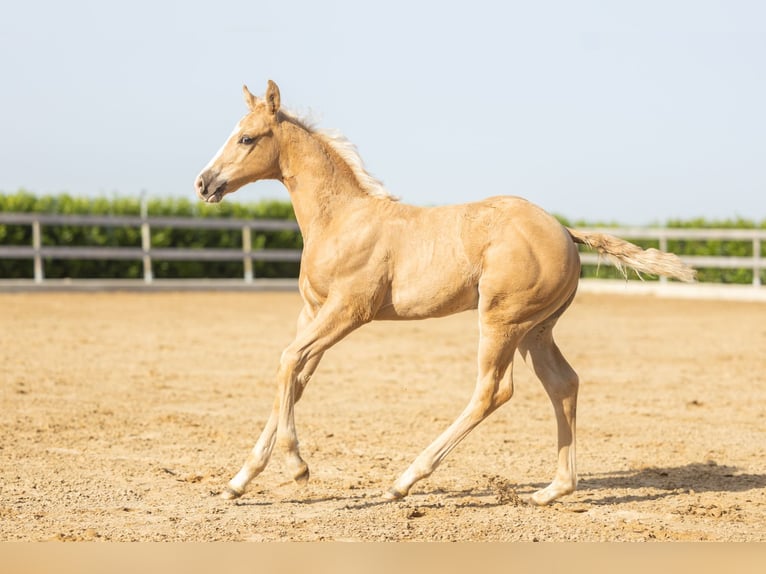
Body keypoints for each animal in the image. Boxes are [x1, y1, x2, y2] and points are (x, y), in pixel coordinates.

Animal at [195, 80, 695, 505]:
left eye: (247, 138)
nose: (203, 183)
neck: (340, 219)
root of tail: (565, 231)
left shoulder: (348, 310)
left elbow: (287, 362)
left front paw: (297, 466)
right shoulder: (312, 312)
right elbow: (294, 378)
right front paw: (239, 481)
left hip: (501, 321)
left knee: (493, 390)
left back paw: (405, 480)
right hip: (536, 330)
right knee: (563, 384)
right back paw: (553, 490)